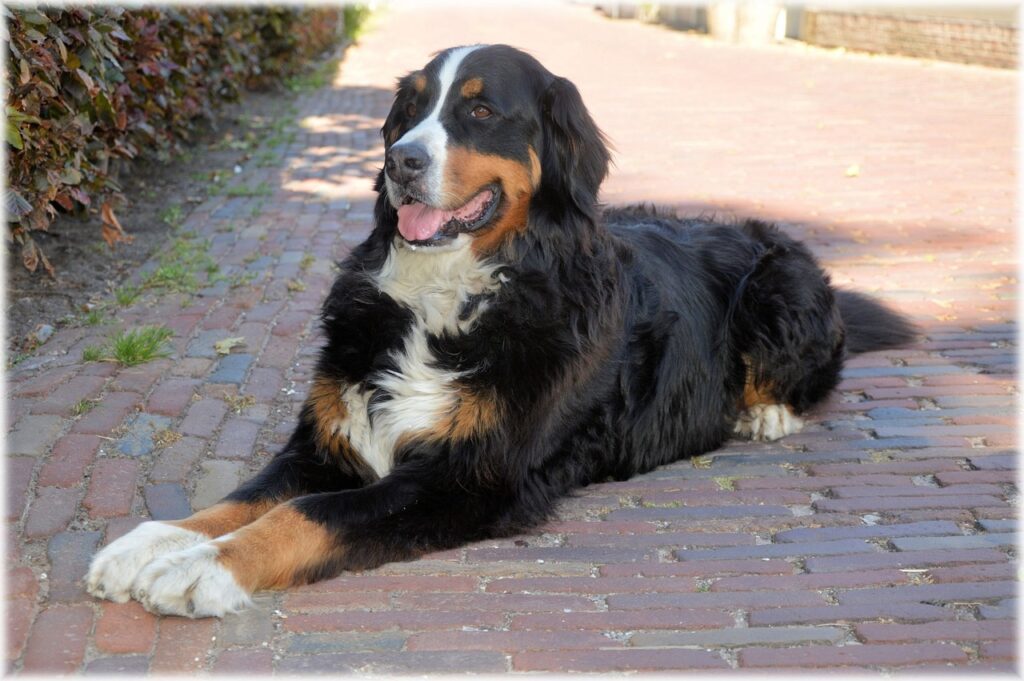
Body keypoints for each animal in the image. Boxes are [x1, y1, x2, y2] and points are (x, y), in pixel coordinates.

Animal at [86, 43, 913, 614]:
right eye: (408, 112)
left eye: (480, 112)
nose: (399, 160)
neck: (444, 297)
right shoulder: (327, 440)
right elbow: (238, 499)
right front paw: (151, 544)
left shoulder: (467, 475)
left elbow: (304, 515)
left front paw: (204, 569)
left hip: (780, 281)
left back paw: (765, 411)